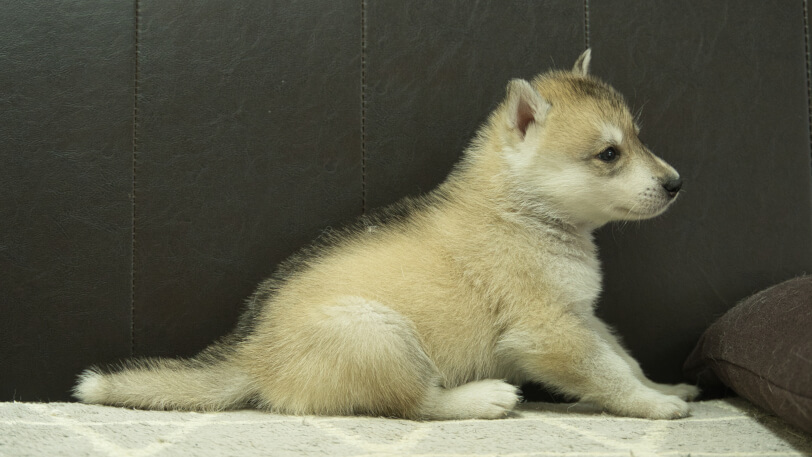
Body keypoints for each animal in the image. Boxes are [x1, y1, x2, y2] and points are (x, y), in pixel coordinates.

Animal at [74, 49, 696, 416]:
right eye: (609, 154)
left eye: (638, 138)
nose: (676, 183)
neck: (523, 210)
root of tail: (254, 356)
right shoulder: (549, 330)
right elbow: (606, 371)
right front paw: (651, 404)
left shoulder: (584, 317)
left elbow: (624, 357)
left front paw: (663, 388)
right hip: (380, 335)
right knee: (416, 403)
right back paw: (480, 398)